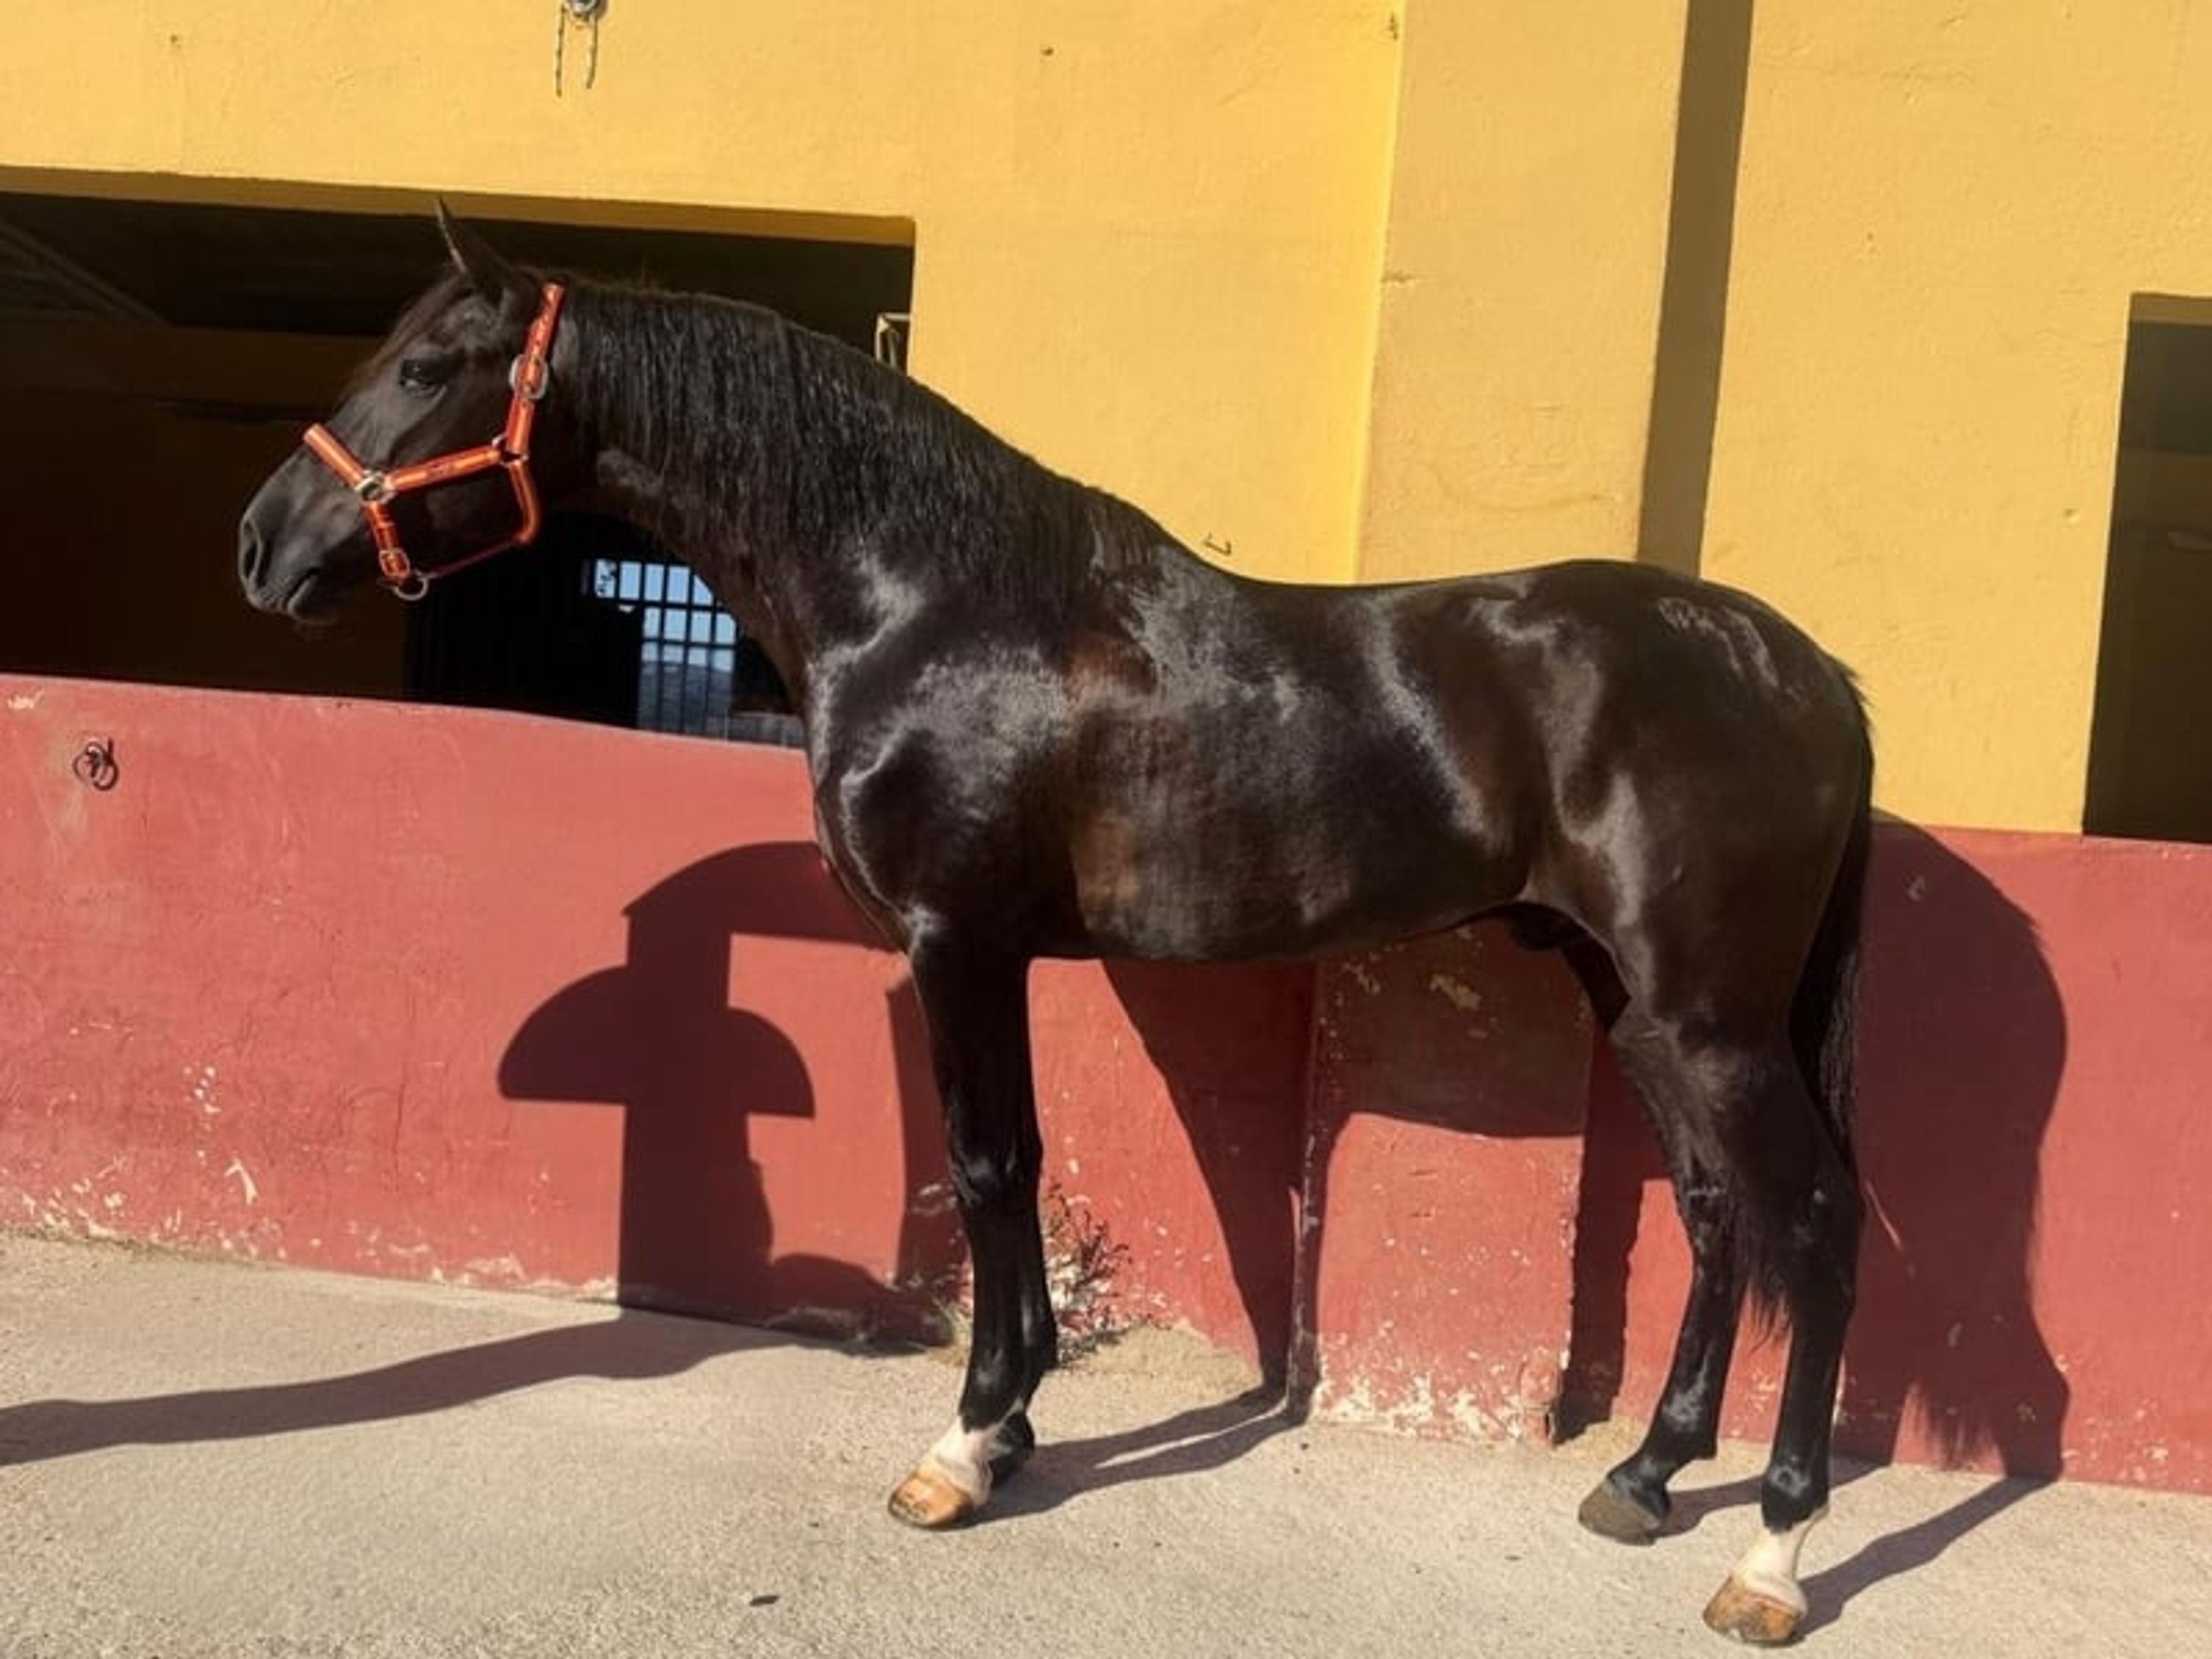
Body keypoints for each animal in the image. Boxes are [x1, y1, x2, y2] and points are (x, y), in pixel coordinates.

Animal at [238, 207, 1874, 1646]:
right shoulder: (995, 952)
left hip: (1711, 1020)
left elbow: (980, 1169)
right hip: (1638, 1006)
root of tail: (1804, 673)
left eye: (426, 366)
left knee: (1813, 1221)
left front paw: (962, 1448)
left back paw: (1769, 1558)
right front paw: (1011, 1424)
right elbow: (1017, 1163)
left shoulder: (955, 940)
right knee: (1718, 1216)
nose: (262, 543)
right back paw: (1644, 1475)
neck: (935, 607)